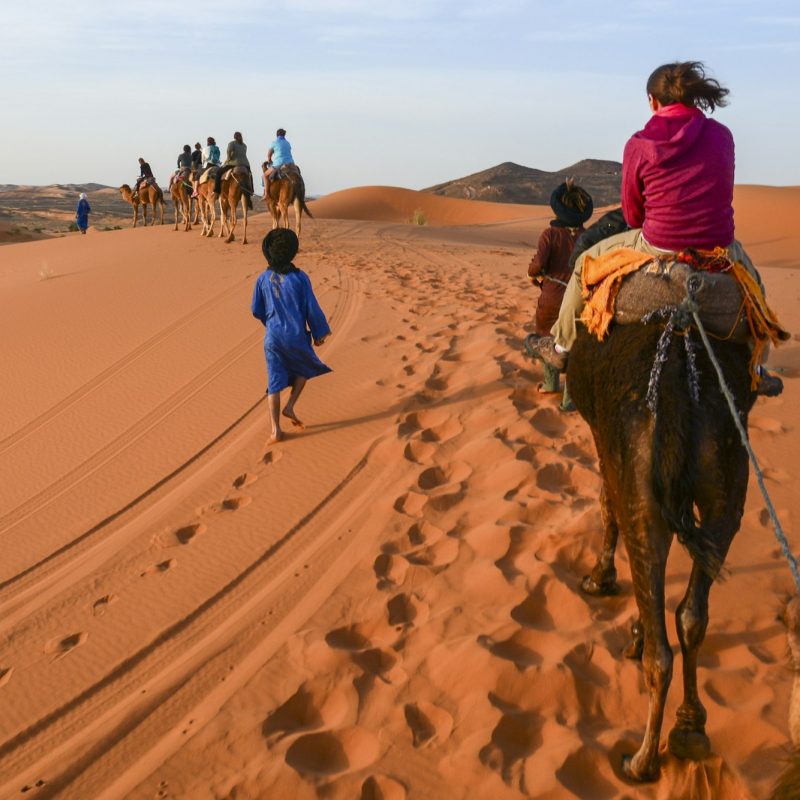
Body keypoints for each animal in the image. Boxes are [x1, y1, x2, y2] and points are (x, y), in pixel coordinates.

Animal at [568, 320, 756, 780]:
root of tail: (676, 396)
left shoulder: (603, 438)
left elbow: (607, 505)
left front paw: (599, 580)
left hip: (641, 476)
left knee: (662, 651)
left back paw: (642, 760)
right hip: (728, 480)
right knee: (692, 615)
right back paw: (690, 727)